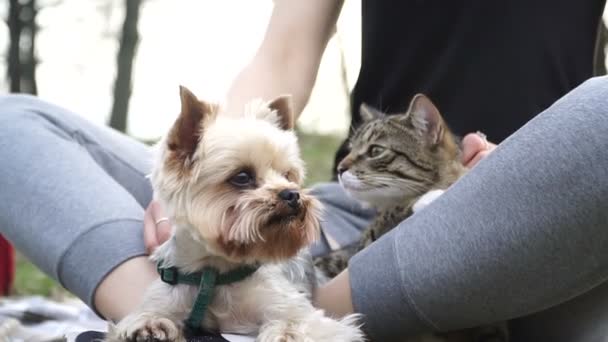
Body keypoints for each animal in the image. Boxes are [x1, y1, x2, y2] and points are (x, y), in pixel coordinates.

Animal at [106, 87, 364, 340]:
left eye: (288, 175)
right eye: (242, 177)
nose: (292, 194)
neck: (215, 273)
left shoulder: (298, 310)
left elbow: (294, 324)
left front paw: (284, 333)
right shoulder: (168, 296)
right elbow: (147, 315)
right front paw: (150, 326)